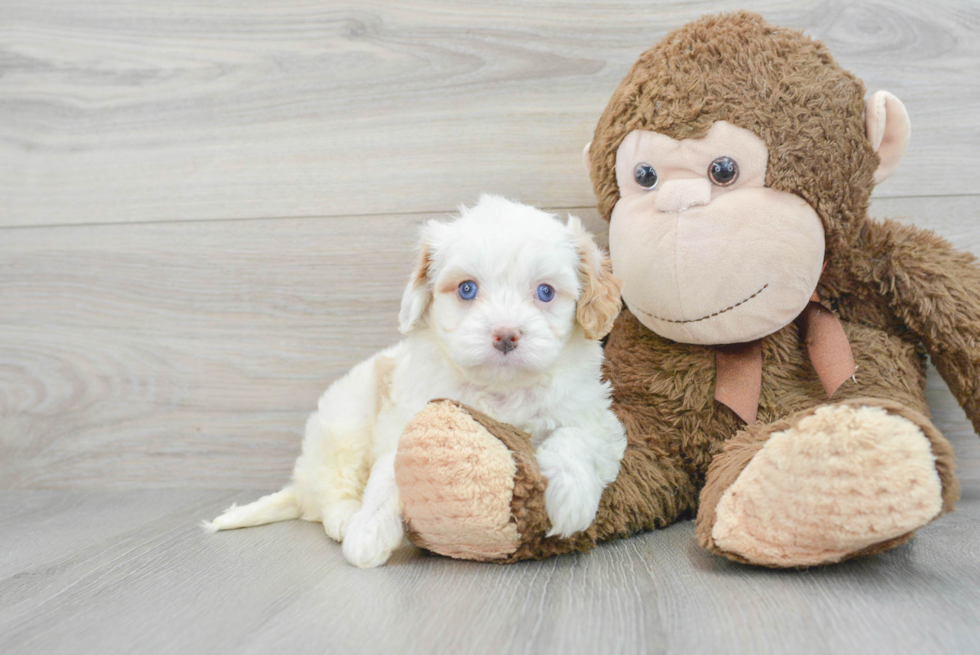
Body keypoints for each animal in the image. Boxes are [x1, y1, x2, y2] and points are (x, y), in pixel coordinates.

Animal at [205, 195, 628, 568]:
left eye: (545, 292)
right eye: (467, 289)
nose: (505, 335)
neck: (499, 391)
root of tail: (301, 481)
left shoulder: (595, 418)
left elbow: (574, 437)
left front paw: (570, 496)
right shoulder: (408, 418)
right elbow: (388, 471)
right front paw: (368, 532)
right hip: (345, 422)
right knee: (331, 488)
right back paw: (346, 518)